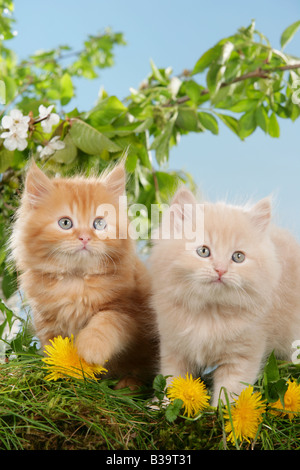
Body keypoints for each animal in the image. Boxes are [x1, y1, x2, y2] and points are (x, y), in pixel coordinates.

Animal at [10, 162, 158, 390]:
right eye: (65, 223)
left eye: (99, 224)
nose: (85, 237)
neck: (76, 281)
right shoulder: (47, 322)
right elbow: (54, 348)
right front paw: (64, 370)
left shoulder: (128, 312)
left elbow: (105, 321)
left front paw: (89, 350)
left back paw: (127, 384)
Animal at [150, 185, 300, 406]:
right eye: (204, 251)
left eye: (238, 257)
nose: (221, 270)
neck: (209, 313)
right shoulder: (173, 347)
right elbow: (172, 382)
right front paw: (161, 406)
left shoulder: (242, 356)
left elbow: (230, 393)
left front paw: (219, 411)